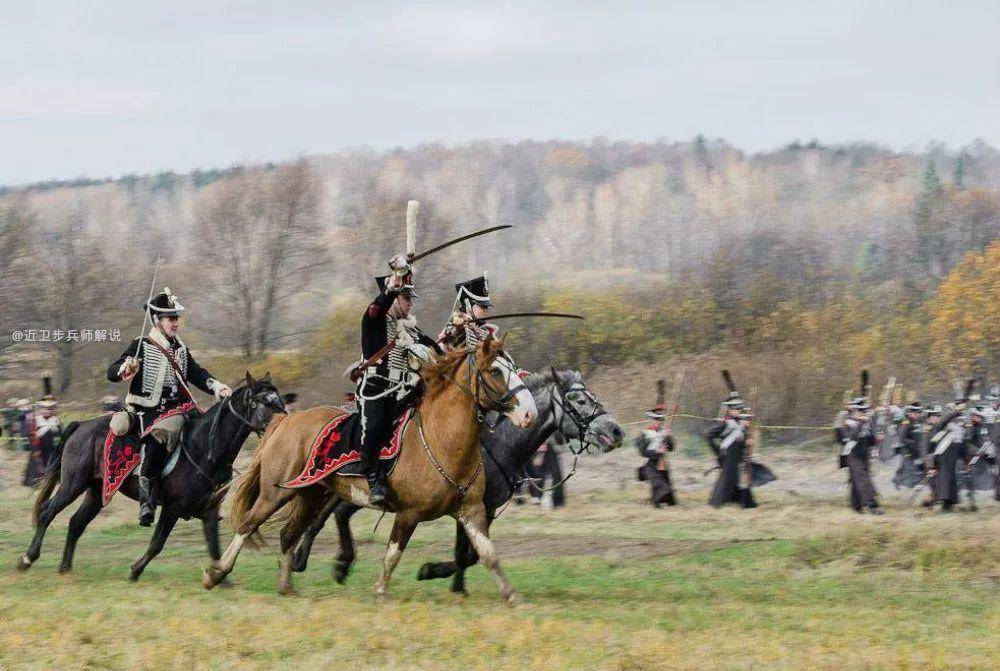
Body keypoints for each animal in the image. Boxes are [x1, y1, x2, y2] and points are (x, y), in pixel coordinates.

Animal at [17, 372, 284, 584]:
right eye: (265, 401)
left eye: (280, 399)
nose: (285, 423)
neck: (206, 449)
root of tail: (81, 426)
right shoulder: (172, 508)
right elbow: (157, 543)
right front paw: (135, 570)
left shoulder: (209, 511)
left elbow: (214, 547)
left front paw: (219, 578)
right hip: (73, 484)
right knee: (47, 512)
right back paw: (27, 558)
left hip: (96, 492)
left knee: (75, 523)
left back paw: (65, 567)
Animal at [198, 338, 536, 608]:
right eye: (495, 371)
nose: (529, 413)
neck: (442, 438)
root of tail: (285, 421)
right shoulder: (409, 514)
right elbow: (393, 553)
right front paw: (381, 592)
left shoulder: (472, 511)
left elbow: (488, 554)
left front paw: (513, 595)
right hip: (274, 493)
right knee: (248, 525)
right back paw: (216, 574)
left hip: (311, 496)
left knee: (288, 535)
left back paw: (286, 587)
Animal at [286, 370, 620, 596]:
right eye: (579, 400)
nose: (616, 431)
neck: (496, 443)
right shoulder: (471, 506)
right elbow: (465, 553)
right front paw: (440, 577)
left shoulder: (483, 509)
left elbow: (471, 553)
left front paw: (447, 579)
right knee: (326, 517)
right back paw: (316, 561)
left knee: (336, 515)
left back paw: (327, 563)